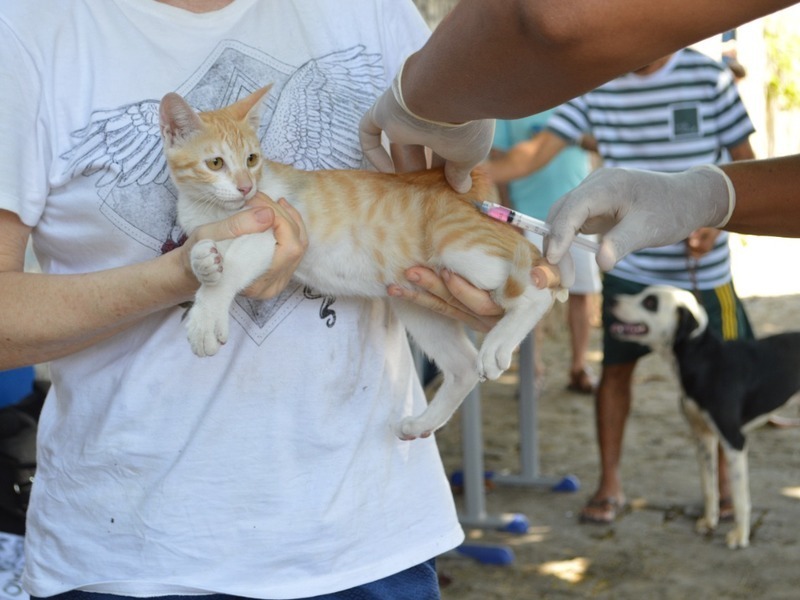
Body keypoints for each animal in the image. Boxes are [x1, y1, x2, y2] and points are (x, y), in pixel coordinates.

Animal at [159, 85, 564, 440]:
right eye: (215, 163)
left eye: (252, 159)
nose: (246, 187)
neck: (212, 210)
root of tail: (467, 194)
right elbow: (202, 253)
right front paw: (203, 263)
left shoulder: (270, 228)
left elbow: (231, 268)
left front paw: (206, 317)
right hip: (415, 301)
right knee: (463, 366)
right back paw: (422, 422)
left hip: (459, 246)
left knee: (540, 289)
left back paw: (499, 343)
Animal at [608, 286, 800, 548]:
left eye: (650, 302)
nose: (612, 300)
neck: (705, 360)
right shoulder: (702, 436)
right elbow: (709, 486)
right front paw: (709, 522)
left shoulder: (734, 441)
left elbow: (740, 497)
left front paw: (740, 536)